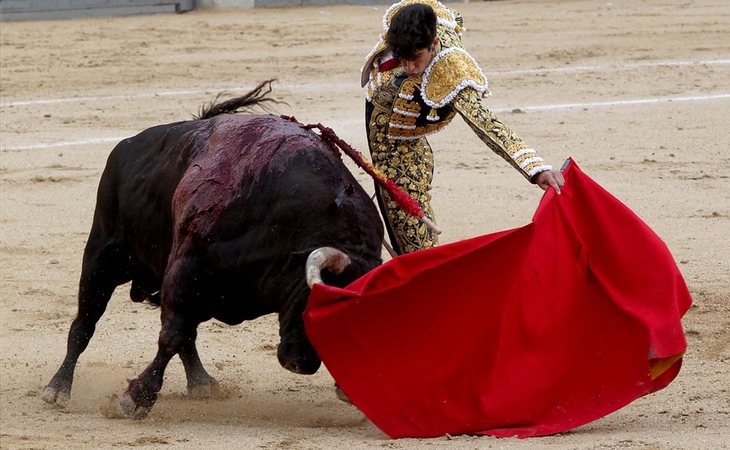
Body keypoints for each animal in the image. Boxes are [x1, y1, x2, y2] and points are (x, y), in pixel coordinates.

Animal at [40, 81, 384, 418]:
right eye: (315, 306)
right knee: (84, 323)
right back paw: (58, 388)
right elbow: (171, 335)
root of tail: (127, 145)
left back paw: (201, 382)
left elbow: (180, 333)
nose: (300, 364)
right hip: (102, 257)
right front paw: (136, 398)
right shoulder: (186, 269)